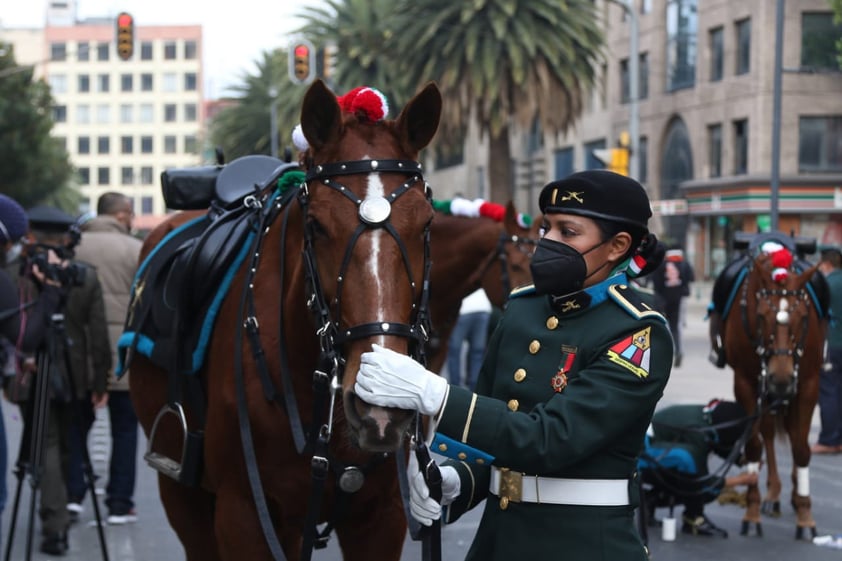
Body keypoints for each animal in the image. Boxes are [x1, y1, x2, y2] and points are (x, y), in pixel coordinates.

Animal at [126, 80, 440, 560]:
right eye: (316, 226)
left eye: (426, 224)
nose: (380, 409)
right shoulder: (243, 517)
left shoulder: (381, 519)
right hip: (183, 495)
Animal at [720, 246, 824, 540]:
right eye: (762, 315)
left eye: (804, 317)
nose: (781, 380)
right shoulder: (745, 384)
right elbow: (754, 446)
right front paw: (752, 511)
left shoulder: (808, 384)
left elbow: (801, 448)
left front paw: (805, 515)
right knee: (766, 432)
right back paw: (772, 493)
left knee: (791, 431)